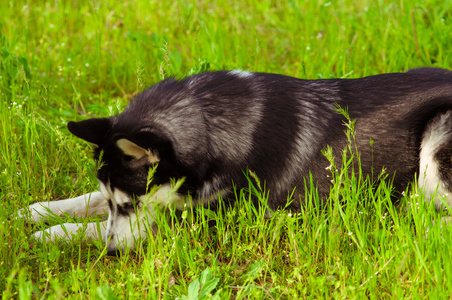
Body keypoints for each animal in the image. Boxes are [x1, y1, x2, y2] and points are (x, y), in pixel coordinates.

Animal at [19, 68, 452, 255]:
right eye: (116, 204)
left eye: (129, 205)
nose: (112, 252)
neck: (209, 124)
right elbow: (86, 199)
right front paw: (38, 211)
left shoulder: (213, 219)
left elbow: (93, 225)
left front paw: (55, 234)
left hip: (437, 138)